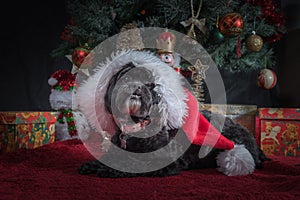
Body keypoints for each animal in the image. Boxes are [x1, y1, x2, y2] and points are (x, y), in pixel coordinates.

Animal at [76, 50, 268, 178]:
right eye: (126, 78)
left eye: (149, 84)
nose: (137, 87)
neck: (136, 126)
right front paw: (94, 164)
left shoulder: (162, 162)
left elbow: (131, 163)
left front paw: (107, 169)